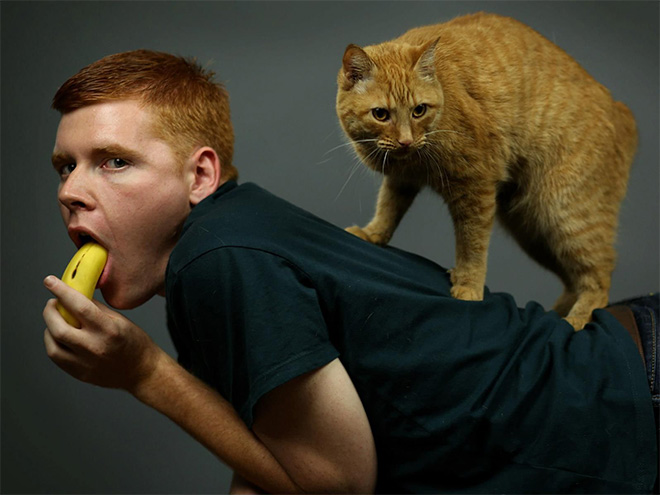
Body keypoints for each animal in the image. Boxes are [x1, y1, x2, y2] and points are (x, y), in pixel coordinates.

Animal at [338, 12, 636, 330]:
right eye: (381, 114)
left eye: (419, 110)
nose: (406, 140)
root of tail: (622, 111)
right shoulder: (401, 179)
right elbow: (388, 207)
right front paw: (373, 233)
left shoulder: (474, 187)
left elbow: (472, 244)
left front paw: (468, 285)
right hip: (533, 229)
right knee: (573, 281)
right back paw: (554, 315)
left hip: (565, 214)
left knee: (599, 278)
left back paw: (575, 321)